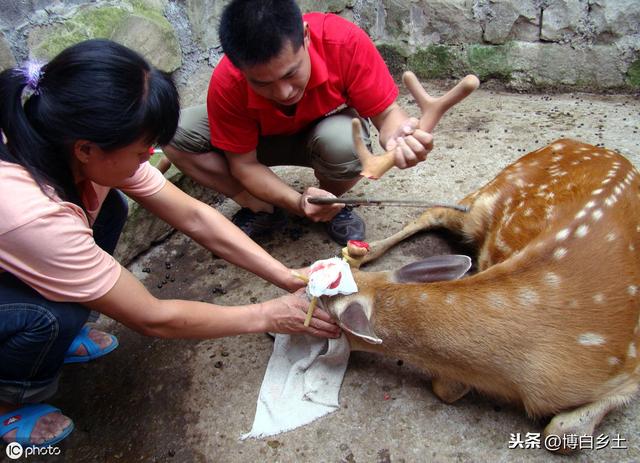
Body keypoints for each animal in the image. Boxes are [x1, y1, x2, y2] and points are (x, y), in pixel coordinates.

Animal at [324, 140, 640, 454]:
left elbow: (563, 434)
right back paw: (362, 250)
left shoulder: (628, 366)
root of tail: (573, 142)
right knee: (434, 211)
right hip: (487, 196)